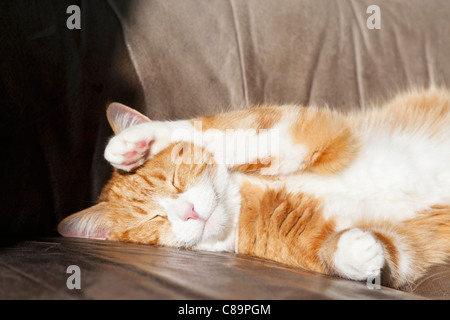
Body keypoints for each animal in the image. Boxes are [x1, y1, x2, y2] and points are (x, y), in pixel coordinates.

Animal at [58, 87, 450, 288]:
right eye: (152, 220)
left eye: (175, 179)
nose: (188, 211)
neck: (242, 196)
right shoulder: (408, 248)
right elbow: (381, 253)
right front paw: (356, 250)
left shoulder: (309, 132)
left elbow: (215, 133)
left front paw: (140, 142)